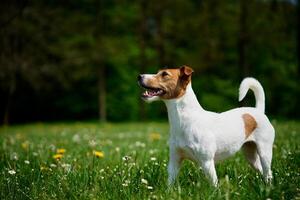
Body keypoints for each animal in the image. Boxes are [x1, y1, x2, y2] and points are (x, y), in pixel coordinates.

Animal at [138, 66, 274, 187]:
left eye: (165, 74)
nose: (139, 76)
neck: (185, 120)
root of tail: (259, 111)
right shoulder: (174, 161)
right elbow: (170, 182)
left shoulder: (207, 162)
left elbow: (214, 184)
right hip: (250, 155)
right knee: (262, 170)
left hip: (265, 151)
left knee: (268, 171)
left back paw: (269, 187)